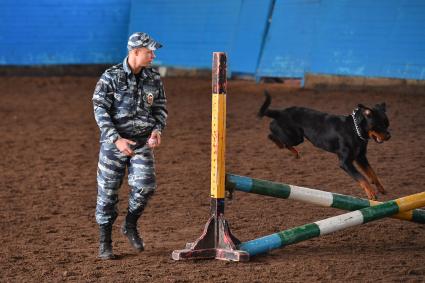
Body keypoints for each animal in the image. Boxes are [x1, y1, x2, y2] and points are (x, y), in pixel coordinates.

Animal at [256, 92, 390, 201]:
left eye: (387, 123)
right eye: (378, 125)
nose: (389, 136)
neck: (354, 130)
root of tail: (281, 112)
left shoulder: (360, 157)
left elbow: (371, 173)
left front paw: (381, 188)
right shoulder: (345, 162)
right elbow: (362, 178)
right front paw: (371, 193)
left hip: (296, 137)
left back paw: (293, 152)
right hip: (295, 137)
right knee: (273, 134)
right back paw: (289, 149)